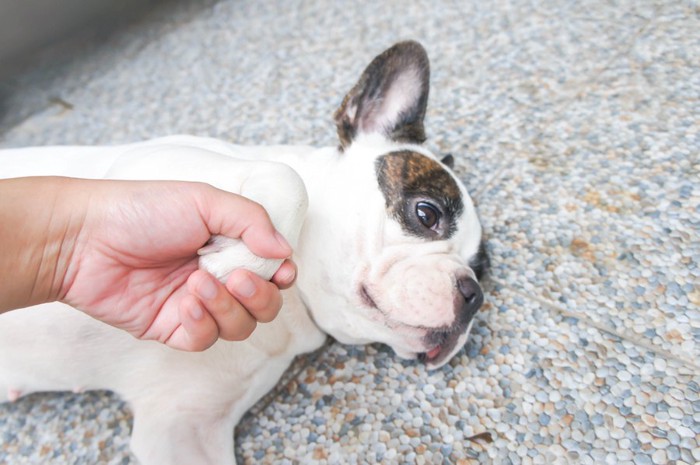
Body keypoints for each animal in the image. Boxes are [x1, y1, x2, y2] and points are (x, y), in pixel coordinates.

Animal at [0, 41, 486, 462]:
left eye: (482, 270)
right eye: (426, 213)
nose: (474, 294)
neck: (295, 308)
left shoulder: (181, 429)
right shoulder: (143, 176)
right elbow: (287, 180)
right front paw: (235, 262)